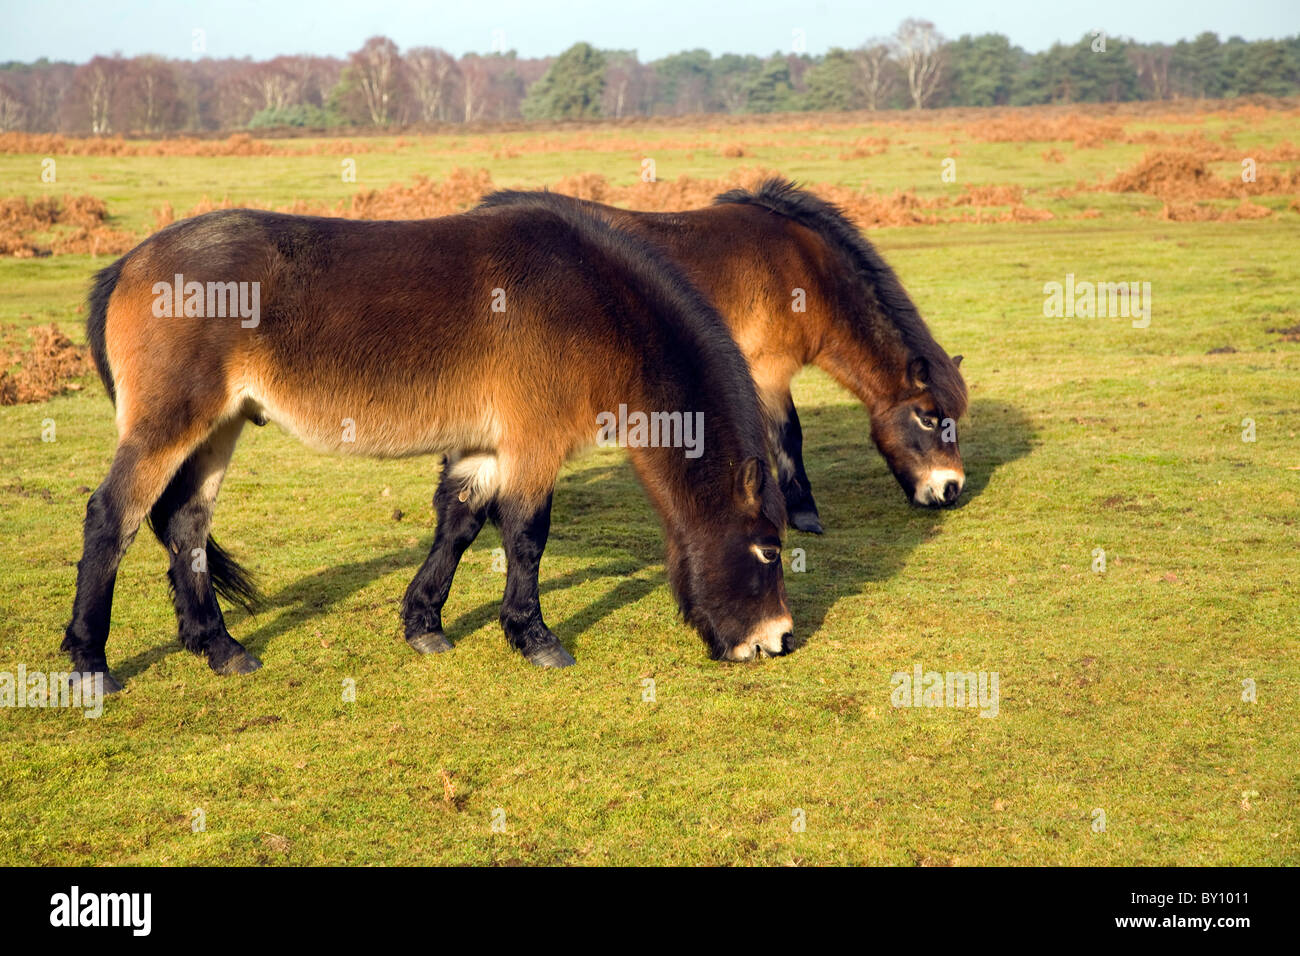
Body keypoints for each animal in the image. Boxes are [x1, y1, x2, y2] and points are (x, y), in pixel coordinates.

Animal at [483, 183, 972, 535]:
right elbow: (789, 436)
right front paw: (804, 513)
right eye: (929, 417)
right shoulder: (770, 373)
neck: (806, 270)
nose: (951, 489)